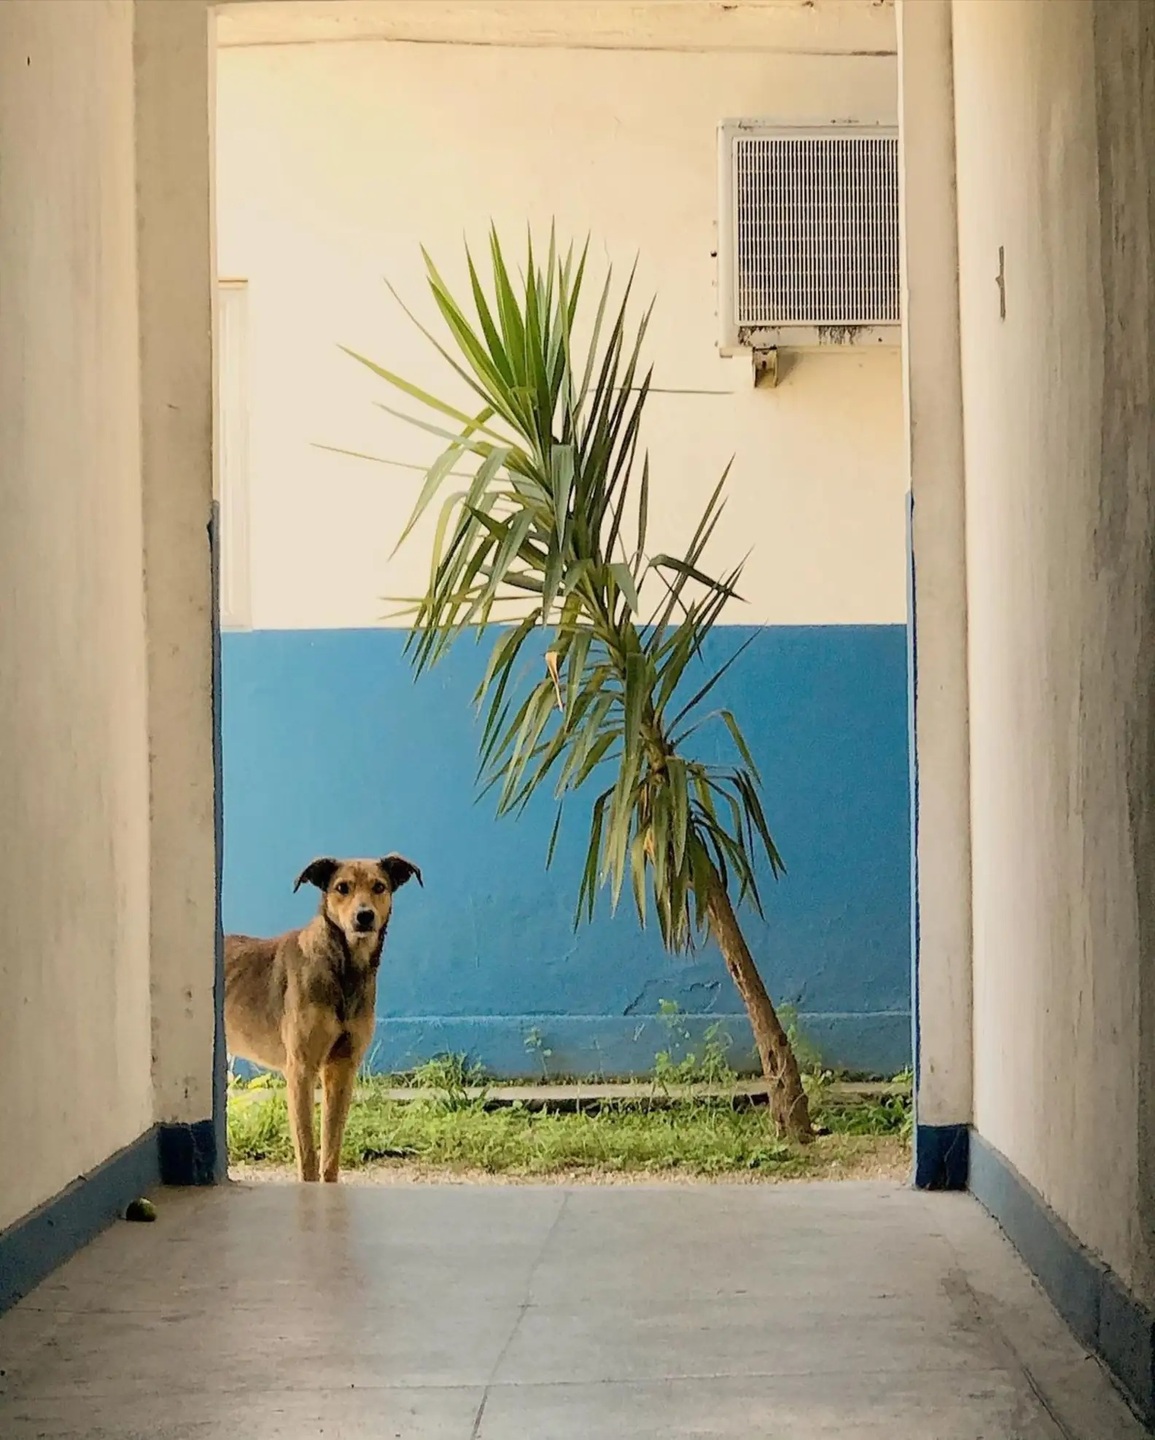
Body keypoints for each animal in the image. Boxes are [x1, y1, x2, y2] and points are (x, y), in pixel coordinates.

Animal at [223, 852, 420, 1180]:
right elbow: (308, 1157)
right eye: (342, 888)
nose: (364, 916)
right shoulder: (301, 1071)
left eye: (379, 886)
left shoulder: (341, 1069)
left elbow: (330, 1153)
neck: (344, 969)